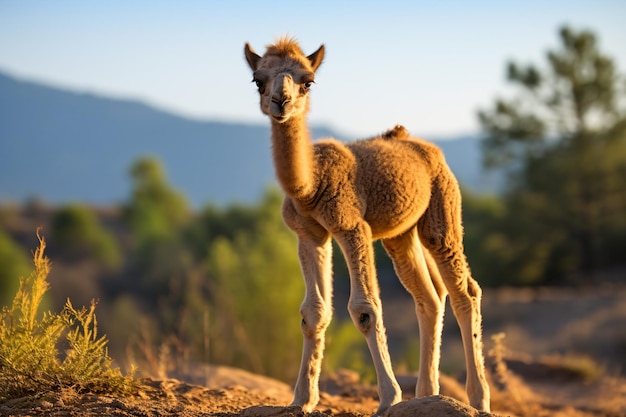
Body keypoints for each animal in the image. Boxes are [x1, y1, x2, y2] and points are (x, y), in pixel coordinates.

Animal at [241, 37, 490, 414]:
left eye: (308, 80)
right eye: (258, 79)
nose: (280, 101)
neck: (309, 188)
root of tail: (427, 149)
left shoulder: (351, 226)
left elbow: (364, 309)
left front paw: (388, 398)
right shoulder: (310, 234)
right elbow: (313, 312)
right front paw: (301, 399)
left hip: (442, 215)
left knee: (465, 292)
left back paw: (478, 398)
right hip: (400, 236)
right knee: (430, 297)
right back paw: (427, 393)